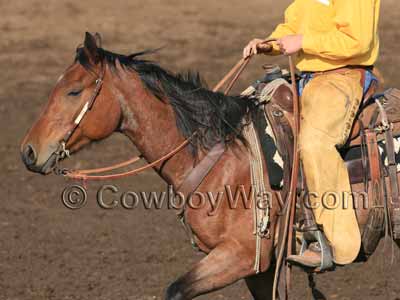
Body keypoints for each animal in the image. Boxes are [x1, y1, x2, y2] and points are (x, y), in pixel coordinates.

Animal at [21, 31, 400, 298]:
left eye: (73, 91)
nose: (28, 151)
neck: (220, 155)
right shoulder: (261, 270)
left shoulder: (239, 255)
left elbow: (176, 290)